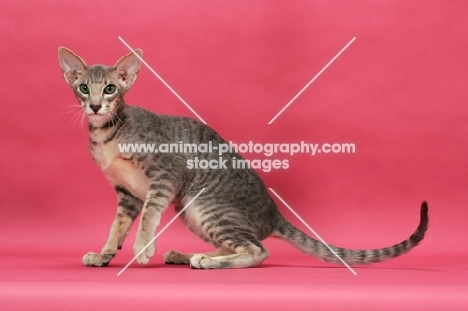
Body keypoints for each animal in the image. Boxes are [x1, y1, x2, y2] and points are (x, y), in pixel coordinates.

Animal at [57, 47, 428, 270]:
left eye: (110, 89)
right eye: (83, 88)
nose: (95, 106)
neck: (107, 134)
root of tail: (273, 214)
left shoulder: (165, 175)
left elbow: (149, 214)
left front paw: (141, 247)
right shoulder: (127, 193)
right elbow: (117, 225)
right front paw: (105, 253)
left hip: (203, 202)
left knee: (257, 250)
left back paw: (206, 261)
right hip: (189, 208)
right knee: (238, 245)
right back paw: (189, 255)